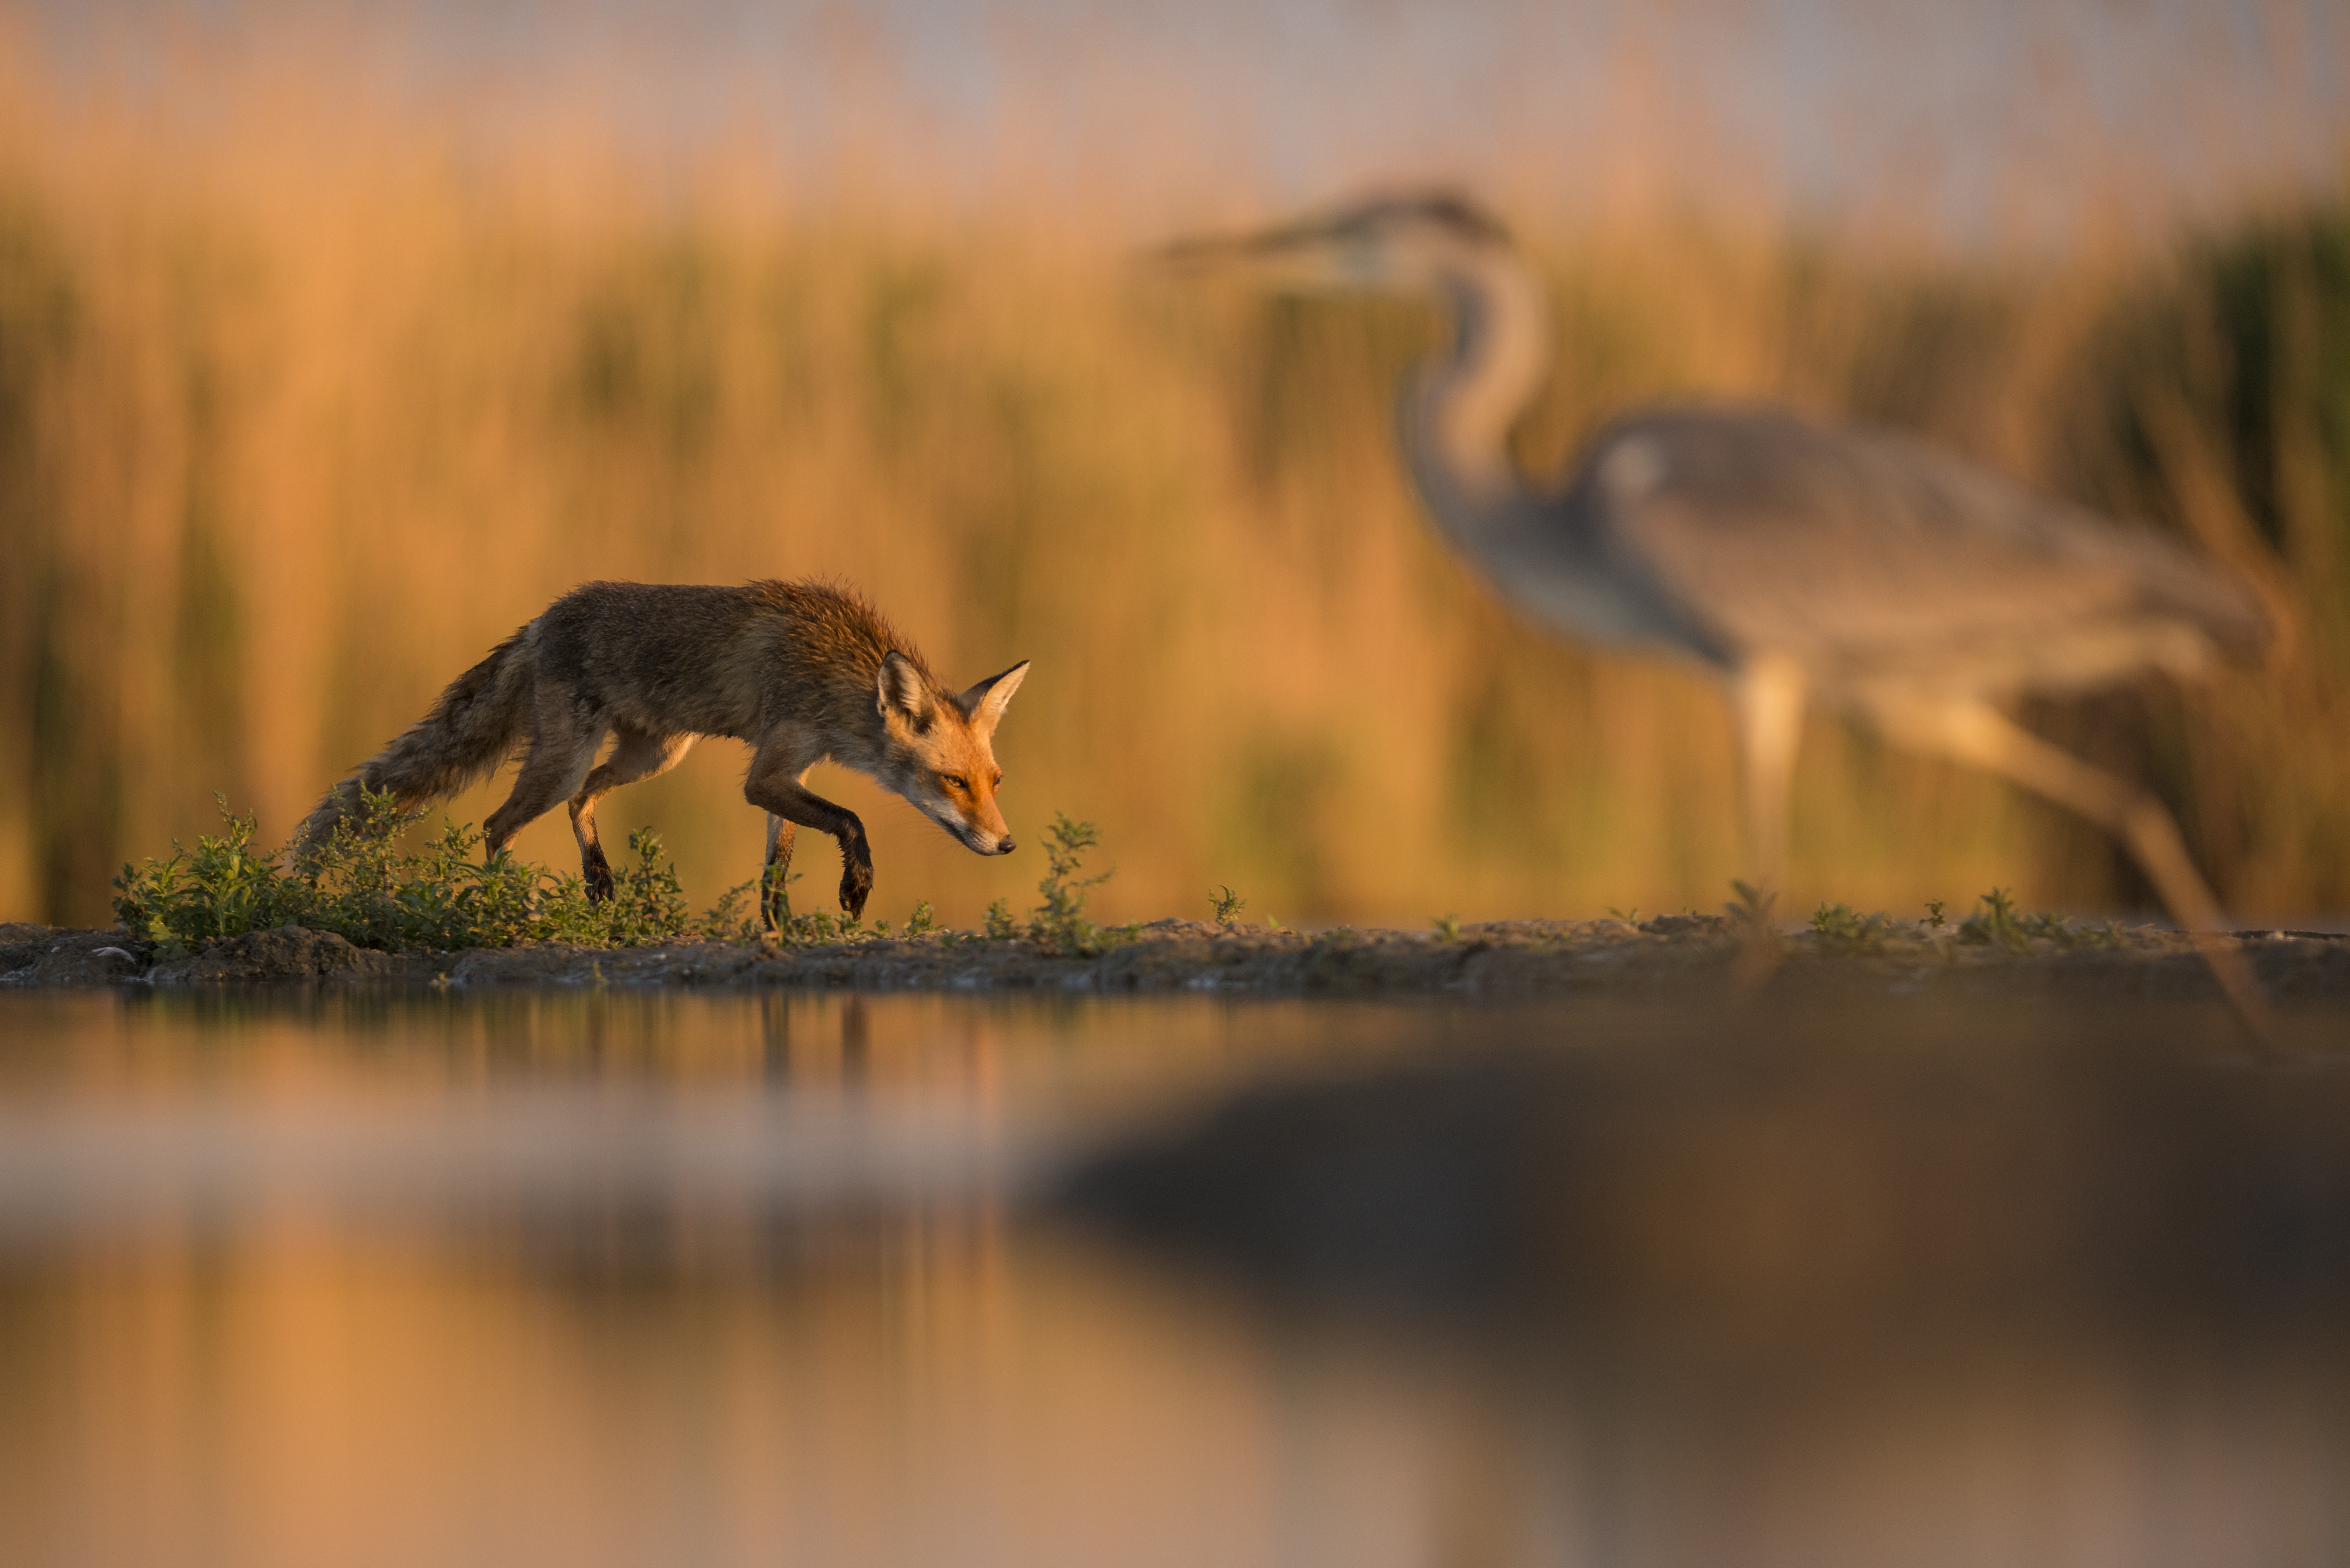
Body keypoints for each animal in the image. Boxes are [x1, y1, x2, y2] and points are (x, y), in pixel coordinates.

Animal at [295, 579, 1028, 923]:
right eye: (954, 783)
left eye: (995, 781)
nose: (1008, 844)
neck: (833, 665)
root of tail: (542, 618)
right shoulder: (769, 773)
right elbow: (851, 819)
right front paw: (856, 885)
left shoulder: (789, 769)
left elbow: (778, 864)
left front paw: (778, 929)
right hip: (564, 761)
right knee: (496, 825)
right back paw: (514, 908)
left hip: (654, 754)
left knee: (583, 801)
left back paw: (598, 880)